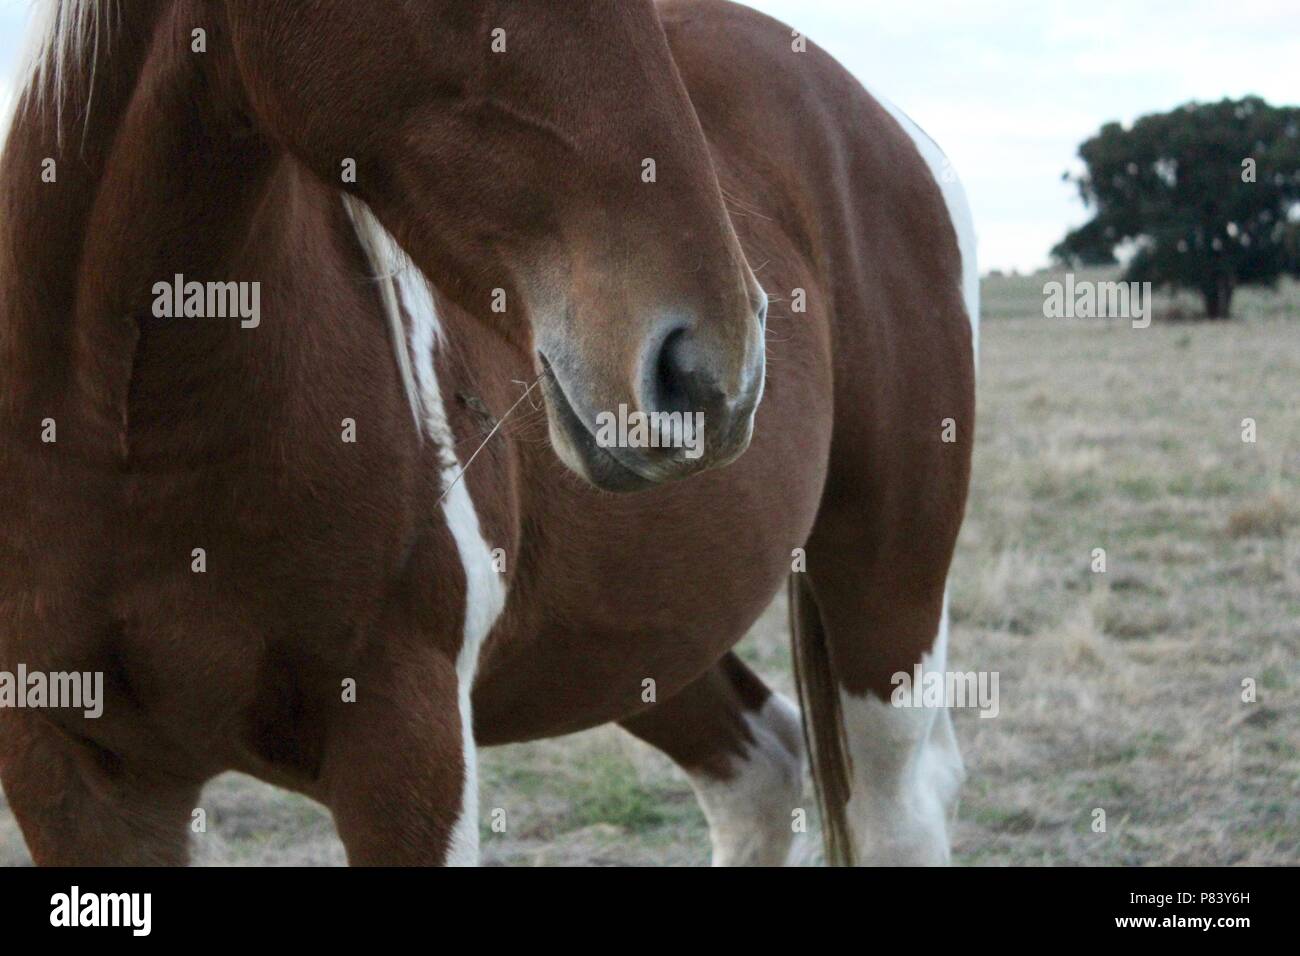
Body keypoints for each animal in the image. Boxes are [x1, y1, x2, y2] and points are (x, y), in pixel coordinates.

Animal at [0, 0, 977, 868]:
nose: (710, 369)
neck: (131, 441)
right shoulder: (74, 774)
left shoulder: (407, 743)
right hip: (631, 631)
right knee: (760, 772)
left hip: (884, 589)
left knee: (897, 813)